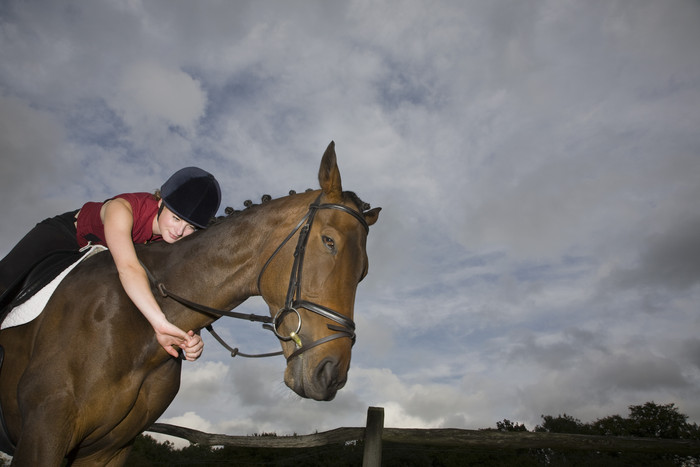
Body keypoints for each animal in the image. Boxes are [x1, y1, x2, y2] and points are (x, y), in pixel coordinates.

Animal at [0, 144, 378, 467]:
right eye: (328, 241)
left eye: (364, 272)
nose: (330, 374)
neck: (141, 326)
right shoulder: (44, 433)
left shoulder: (108, 450)